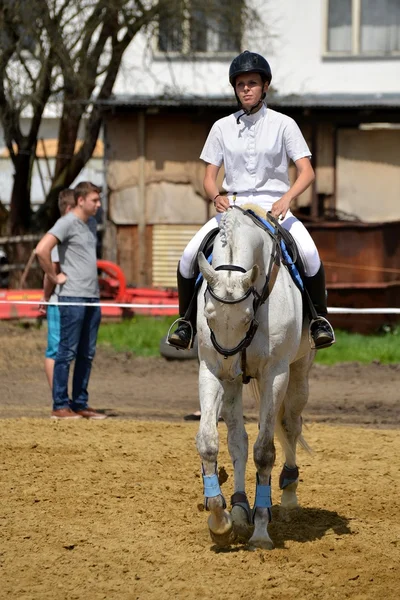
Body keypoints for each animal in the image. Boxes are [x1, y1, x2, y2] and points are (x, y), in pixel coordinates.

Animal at [195, 206, 314, 548]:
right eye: (208, 315)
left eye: (248, 317)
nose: (230, 361)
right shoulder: (211, 370)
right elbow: (210, 442)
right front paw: (220, 520)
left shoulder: (275, 374)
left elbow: (265, 452)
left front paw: (261, 530)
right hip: (233, 383)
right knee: (238, 441)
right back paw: (237, 509)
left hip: (298, 373)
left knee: (290, 425)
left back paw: (288, 495)